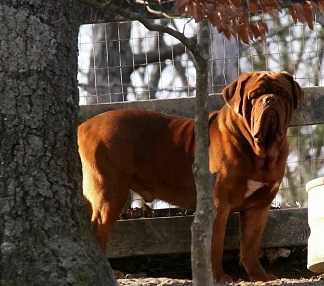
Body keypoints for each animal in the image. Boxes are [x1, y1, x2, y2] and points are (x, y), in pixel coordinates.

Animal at [78, 71, 302, 282]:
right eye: (254, 96)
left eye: (282, 94)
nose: (270, 99)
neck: (259, 152)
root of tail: (83, 127)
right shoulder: (218, 205)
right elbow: (214, 244)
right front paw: (218, 277)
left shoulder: (259, 206)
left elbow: (250, 245)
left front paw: (260, 276)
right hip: (109, 192)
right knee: (97, 229)